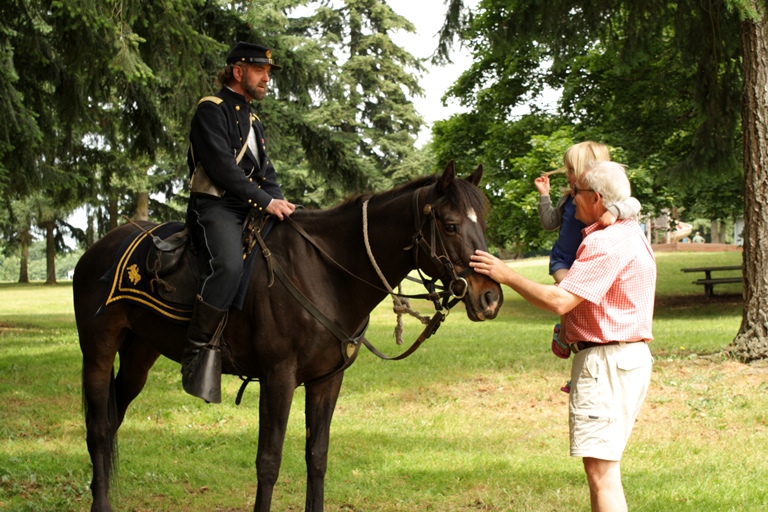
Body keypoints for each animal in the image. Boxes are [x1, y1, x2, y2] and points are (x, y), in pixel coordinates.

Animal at [73, 161, 504, 512]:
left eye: (482, 223)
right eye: (451, 225)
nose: (491, 298)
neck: (325, 271)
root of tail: (96, 250)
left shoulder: (327, 381)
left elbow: (317, 456)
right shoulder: (277, 378)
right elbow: (269, 462)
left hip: (138, 355)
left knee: (112, 419)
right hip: (98, 350)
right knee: (98, 429)